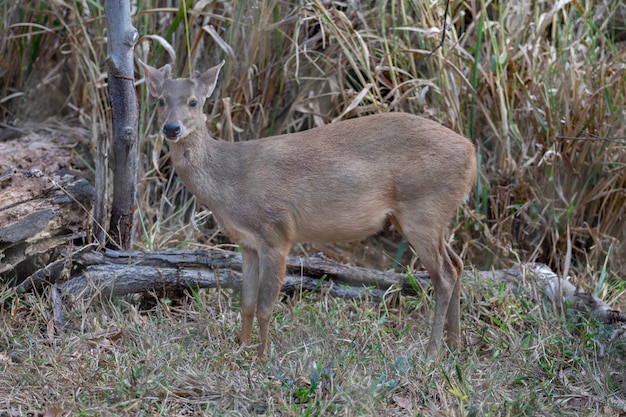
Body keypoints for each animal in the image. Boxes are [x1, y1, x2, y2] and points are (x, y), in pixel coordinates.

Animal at [139, 59, 476, 358]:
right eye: (160, 101)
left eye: (194, 102)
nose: (171, 128)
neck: (231, 181)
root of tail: (472, 154)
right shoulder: (247, 242)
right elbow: (246, 303)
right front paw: (240, 348)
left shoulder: (277, 232)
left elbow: (265, 306)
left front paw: (260, 357)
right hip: (430, 217)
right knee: (458, 263)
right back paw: (455, 345)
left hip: (422, 210)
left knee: (445, 274)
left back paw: (431, 352)